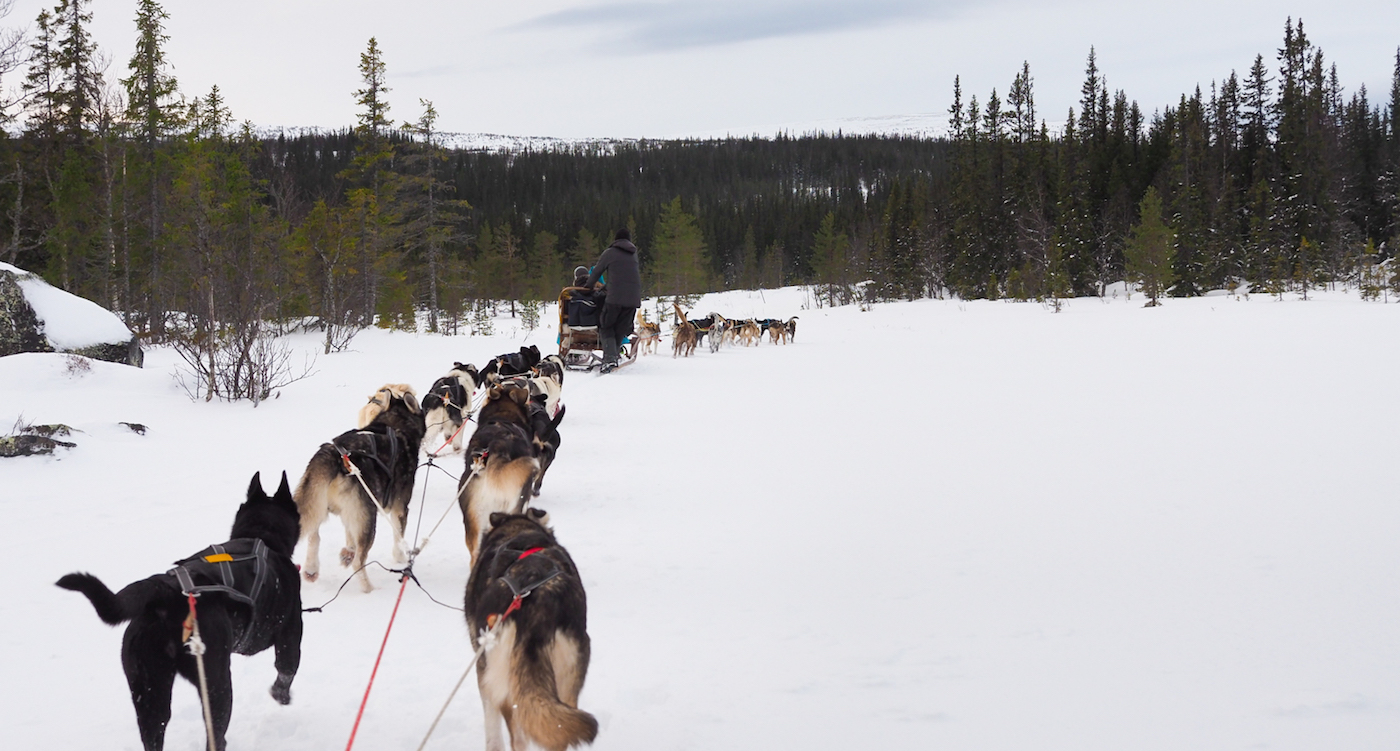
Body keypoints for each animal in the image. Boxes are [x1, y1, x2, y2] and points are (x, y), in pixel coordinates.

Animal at [58, 476, 305, 751]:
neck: (260, 535)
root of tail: (165, 591)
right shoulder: (290, 633)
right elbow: (286, 669)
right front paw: (281, 695)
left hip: (149, 687)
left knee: (154, 730)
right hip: (216, 681)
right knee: (216, 733)